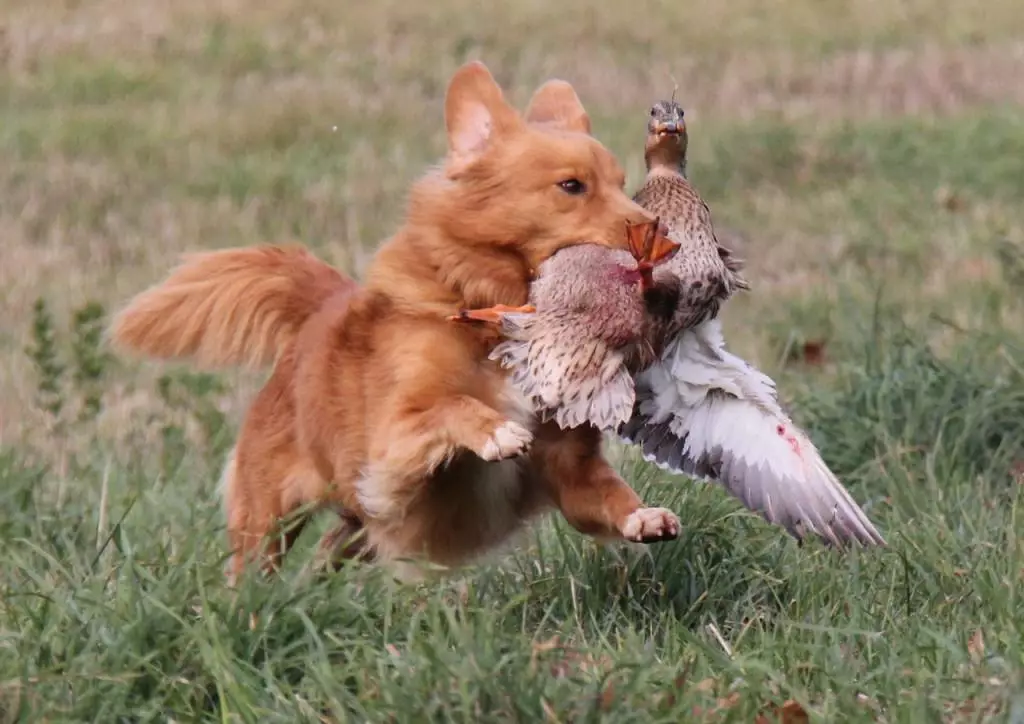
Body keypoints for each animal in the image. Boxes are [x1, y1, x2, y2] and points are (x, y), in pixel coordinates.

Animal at [112, 60, 679, 581]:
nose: (660, 229)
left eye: (623, 184)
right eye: (571, 186)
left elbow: (608, 494)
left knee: (325, 556)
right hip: (267, 518)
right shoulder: (393, 438)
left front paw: (643, 517)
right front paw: (496, 430)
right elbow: (451, 405)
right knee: (253, 571)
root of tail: (316, 316)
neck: (500, 318)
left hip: (354, 529)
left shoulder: (569, 466)